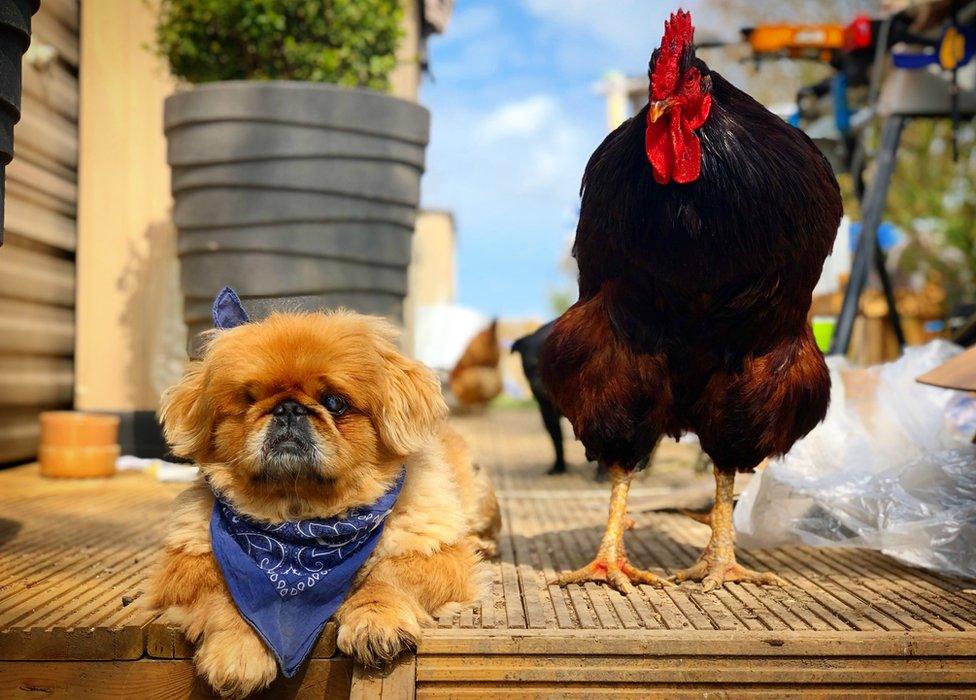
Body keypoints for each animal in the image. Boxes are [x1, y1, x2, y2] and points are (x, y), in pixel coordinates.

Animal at [149, 314, 500, 700]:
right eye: (248, 401)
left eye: (334, 403)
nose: (288, 408)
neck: (302, 519)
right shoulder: (186, 563)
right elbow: (229, 593)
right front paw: (238, 650)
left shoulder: (433, 552)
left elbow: (389, 576)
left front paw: (376, 620)